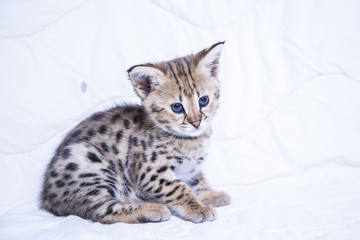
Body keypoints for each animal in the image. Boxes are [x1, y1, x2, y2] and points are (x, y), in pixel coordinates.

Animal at [39, 42, 231, 224]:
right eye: (177, 107)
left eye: (203, 100)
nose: (196, 122)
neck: (192, 140)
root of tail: (46, 197)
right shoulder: (150, 171)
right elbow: (179, 188)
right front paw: (199, 208)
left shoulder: (191, 168)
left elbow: (199, 179)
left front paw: (212, 195)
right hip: (89, 164)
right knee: (102, 211)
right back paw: (152, 209)